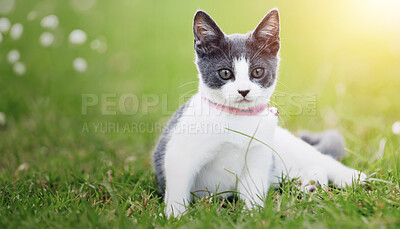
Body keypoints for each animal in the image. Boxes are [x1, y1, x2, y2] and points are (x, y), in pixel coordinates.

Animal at [152, 8, 366, 218]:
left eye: (257, 72)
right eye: (225, 73)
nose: (244, 91)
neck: (237, 120)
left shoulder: (258, 156)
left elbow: (254, 188)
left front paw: (253, 215)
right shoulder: (180, 154)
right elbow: (178, 187)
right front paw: (175, 216)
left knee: (321, 159)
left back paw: (349, 178)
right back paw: (310, 186)